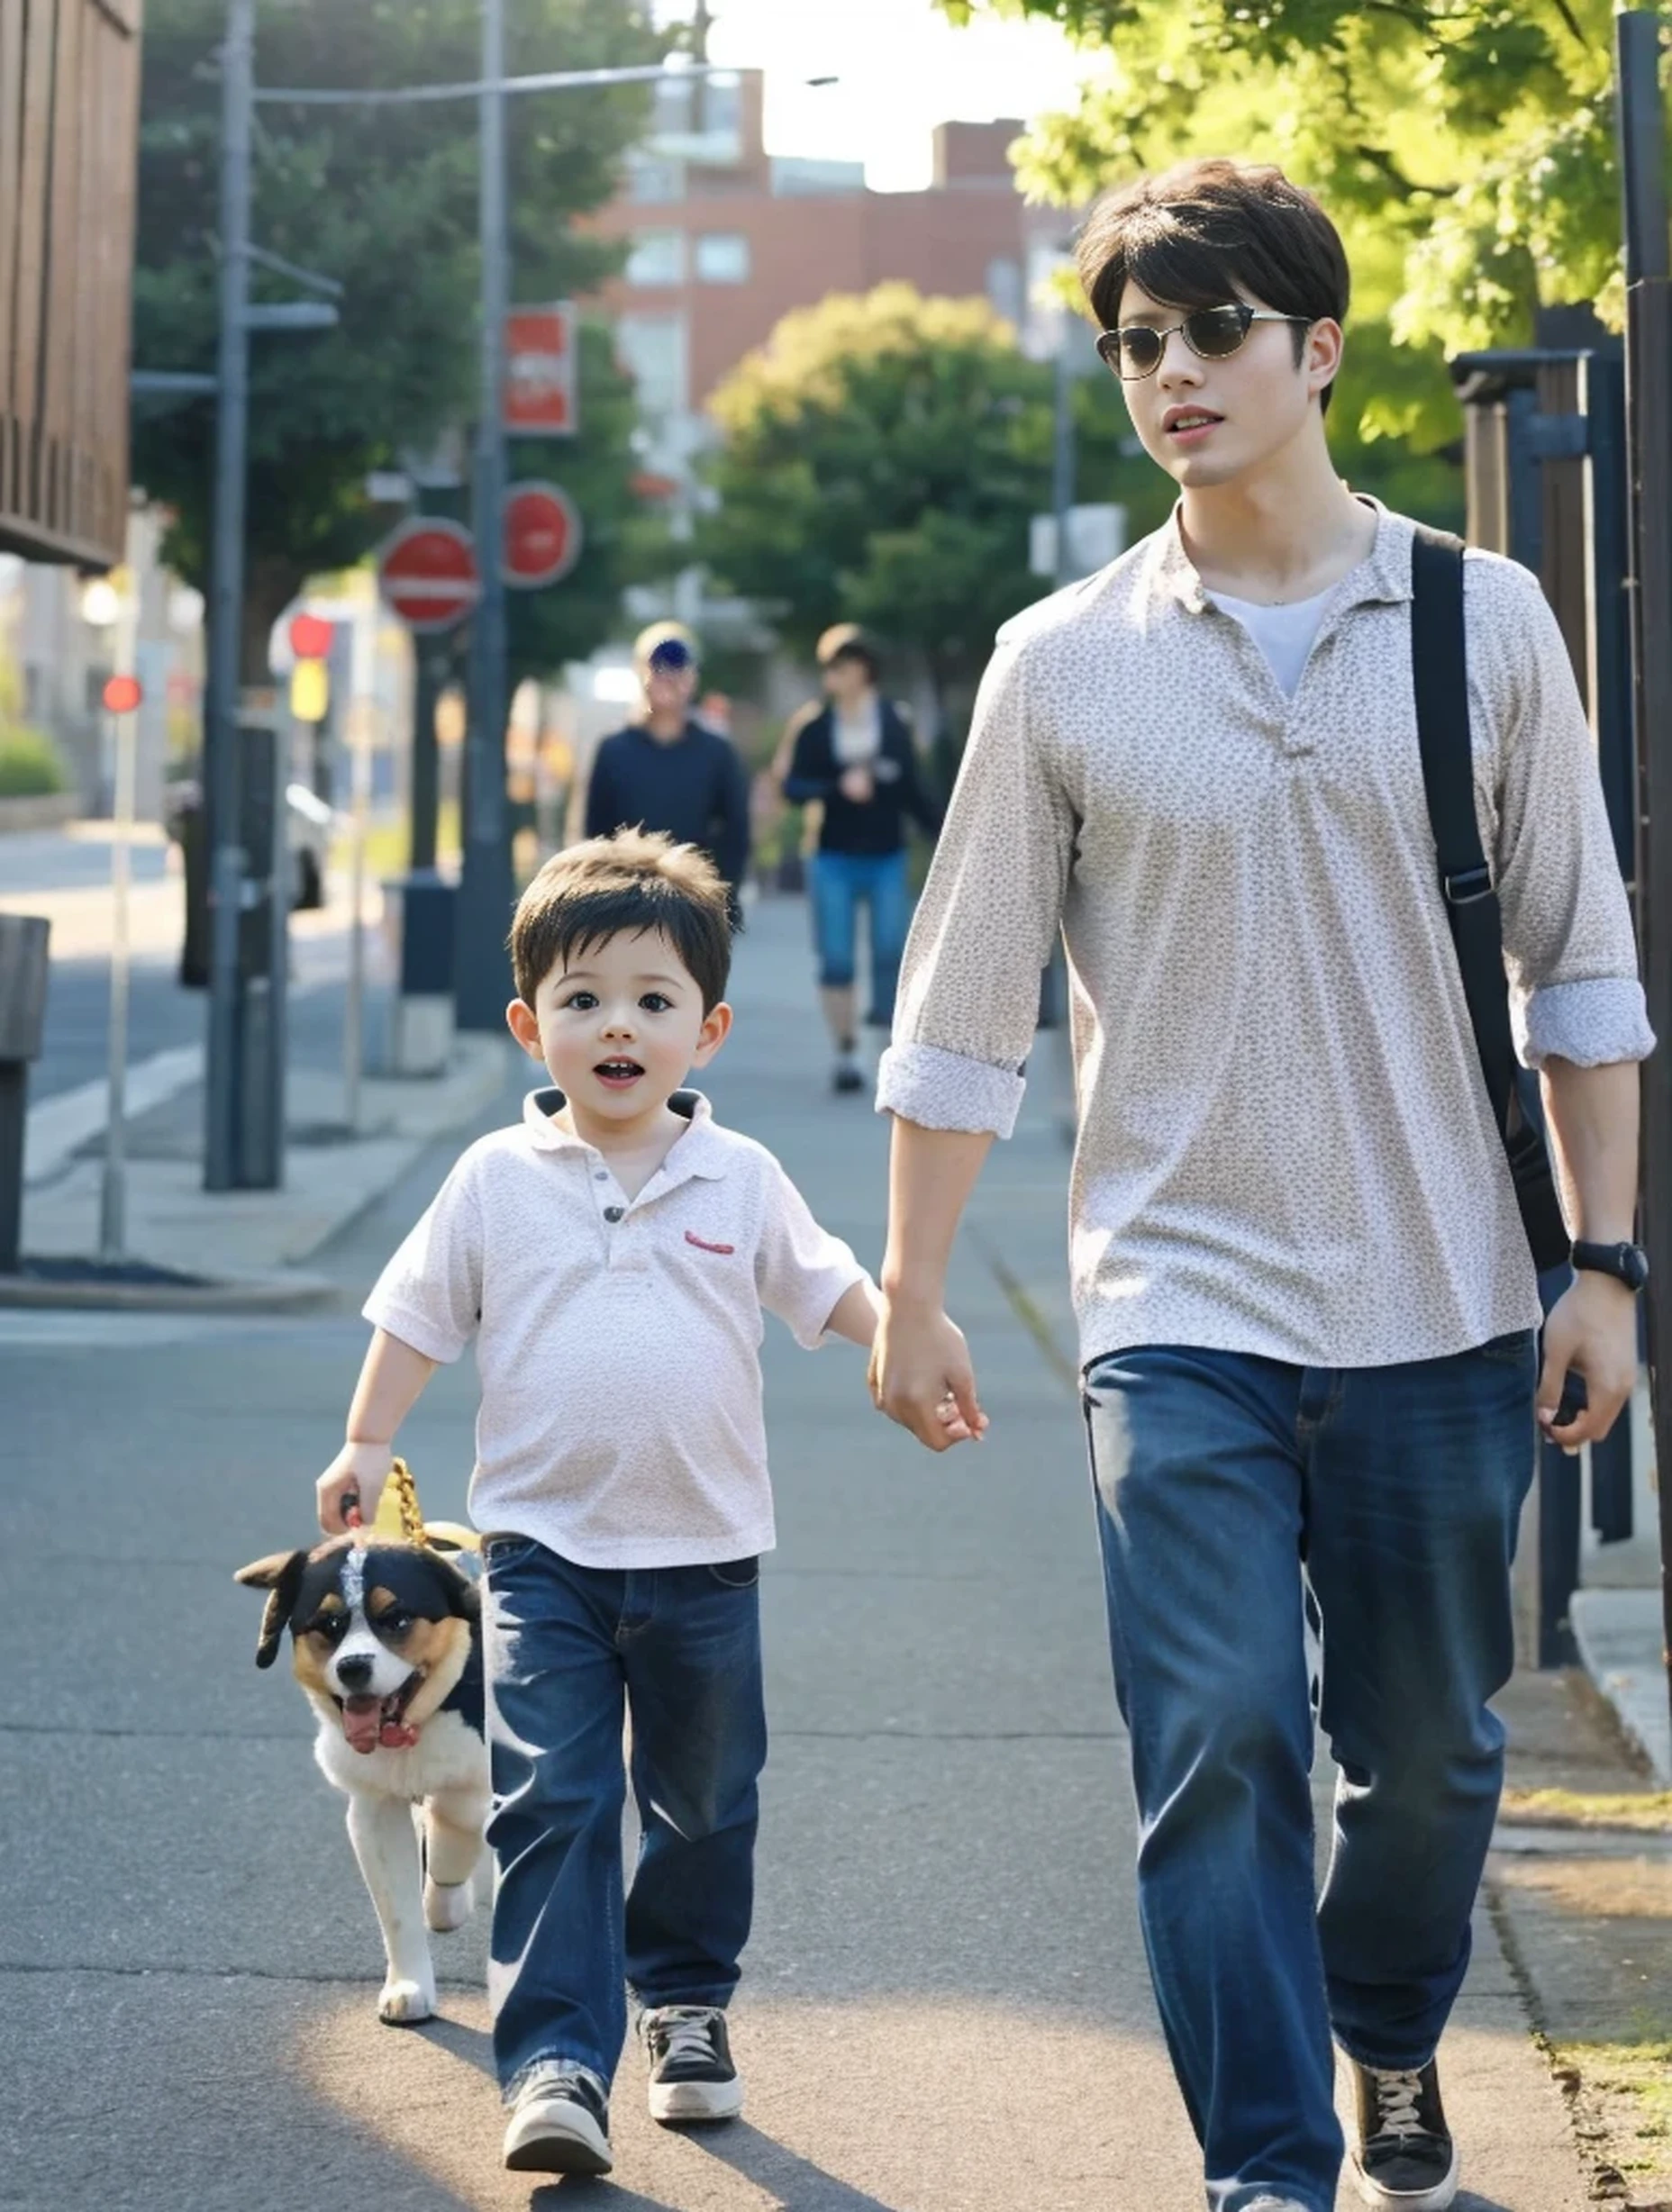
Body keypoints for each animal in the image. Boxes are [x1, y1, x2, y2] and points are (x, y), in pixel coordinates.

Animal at [239, 1539, 493, 2026]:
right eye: (328, 1625)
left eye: (396, 1619)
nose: (354, 1667)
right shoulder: (374, 1810)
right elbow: (397, 1911)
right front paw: (409, 1986)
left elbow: (461, 1809)